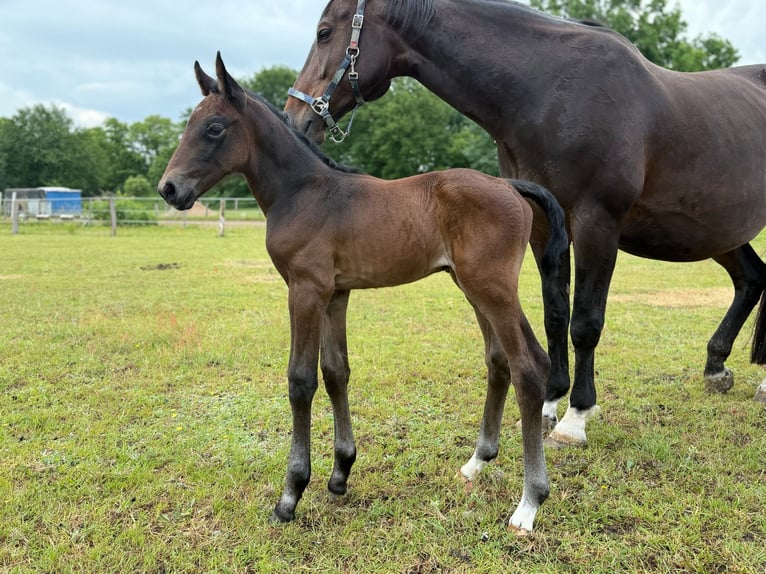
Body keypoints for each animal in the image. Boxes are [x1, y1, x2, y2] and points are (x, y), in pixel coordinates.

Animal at [157, 53, 569, 533]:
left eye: (215, 128)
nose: (169, 188)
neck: (304, 192)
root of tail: (508, 185)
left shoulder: (305, 290)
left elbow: (301, 380)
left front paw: (291, 494)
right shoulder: (335, 295)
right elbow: (336, 372)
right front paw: (340, 473)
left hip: (492, 288)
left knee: (528, 367)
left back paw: (529, 502)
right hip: (475, 288)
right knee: (503, 360)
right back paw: (476, 463)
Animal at [284, 0, 766, 447]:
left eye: (324, 32)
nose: (294, 118)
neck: (550, 91)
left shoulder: (596, 225)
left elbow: (584, 321)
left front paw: (576, 417)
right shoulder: (543, 228)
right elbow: (555, 314)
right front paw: (550, 401)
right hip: (720, 234)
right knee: (751, 278)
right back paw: (717, 367)